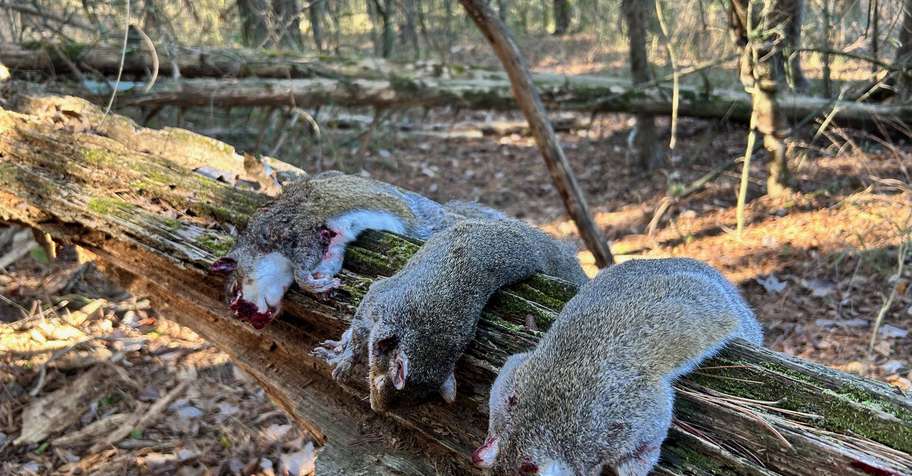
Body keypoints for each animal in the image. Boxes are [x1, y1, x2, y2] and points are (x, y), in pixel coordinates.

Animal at [209, 172, 502, 328]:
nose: (245, 319)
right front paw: (323, 283)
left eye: (234, 290)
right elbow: (329, 259)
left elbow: (303, 266)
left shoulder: (295, 231)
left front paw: (311, 283)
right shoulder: (331, 242)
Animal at [312, 218, 588, 412]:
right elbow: (360, 331)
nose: (377, 407)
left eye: (419, 401)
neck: (430, 328)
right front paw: (346, 359)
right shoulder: (380, 299)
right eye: (381, 381)